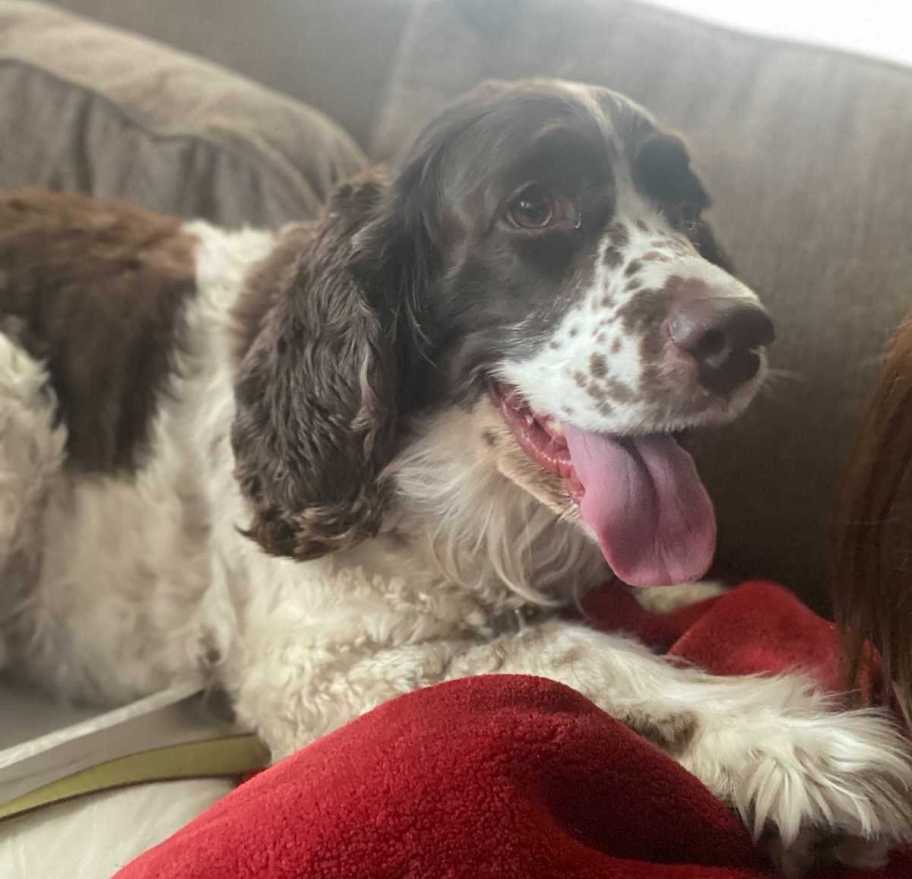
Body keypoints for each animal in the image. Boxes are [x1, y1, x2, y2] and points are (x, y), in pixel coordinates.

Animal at [0, 81, 908, 872]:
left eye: (688, 214)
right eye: (533, 207)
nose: (743, 333)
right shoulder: (316, 667)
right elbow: (555, 655)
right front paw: (786, 744)